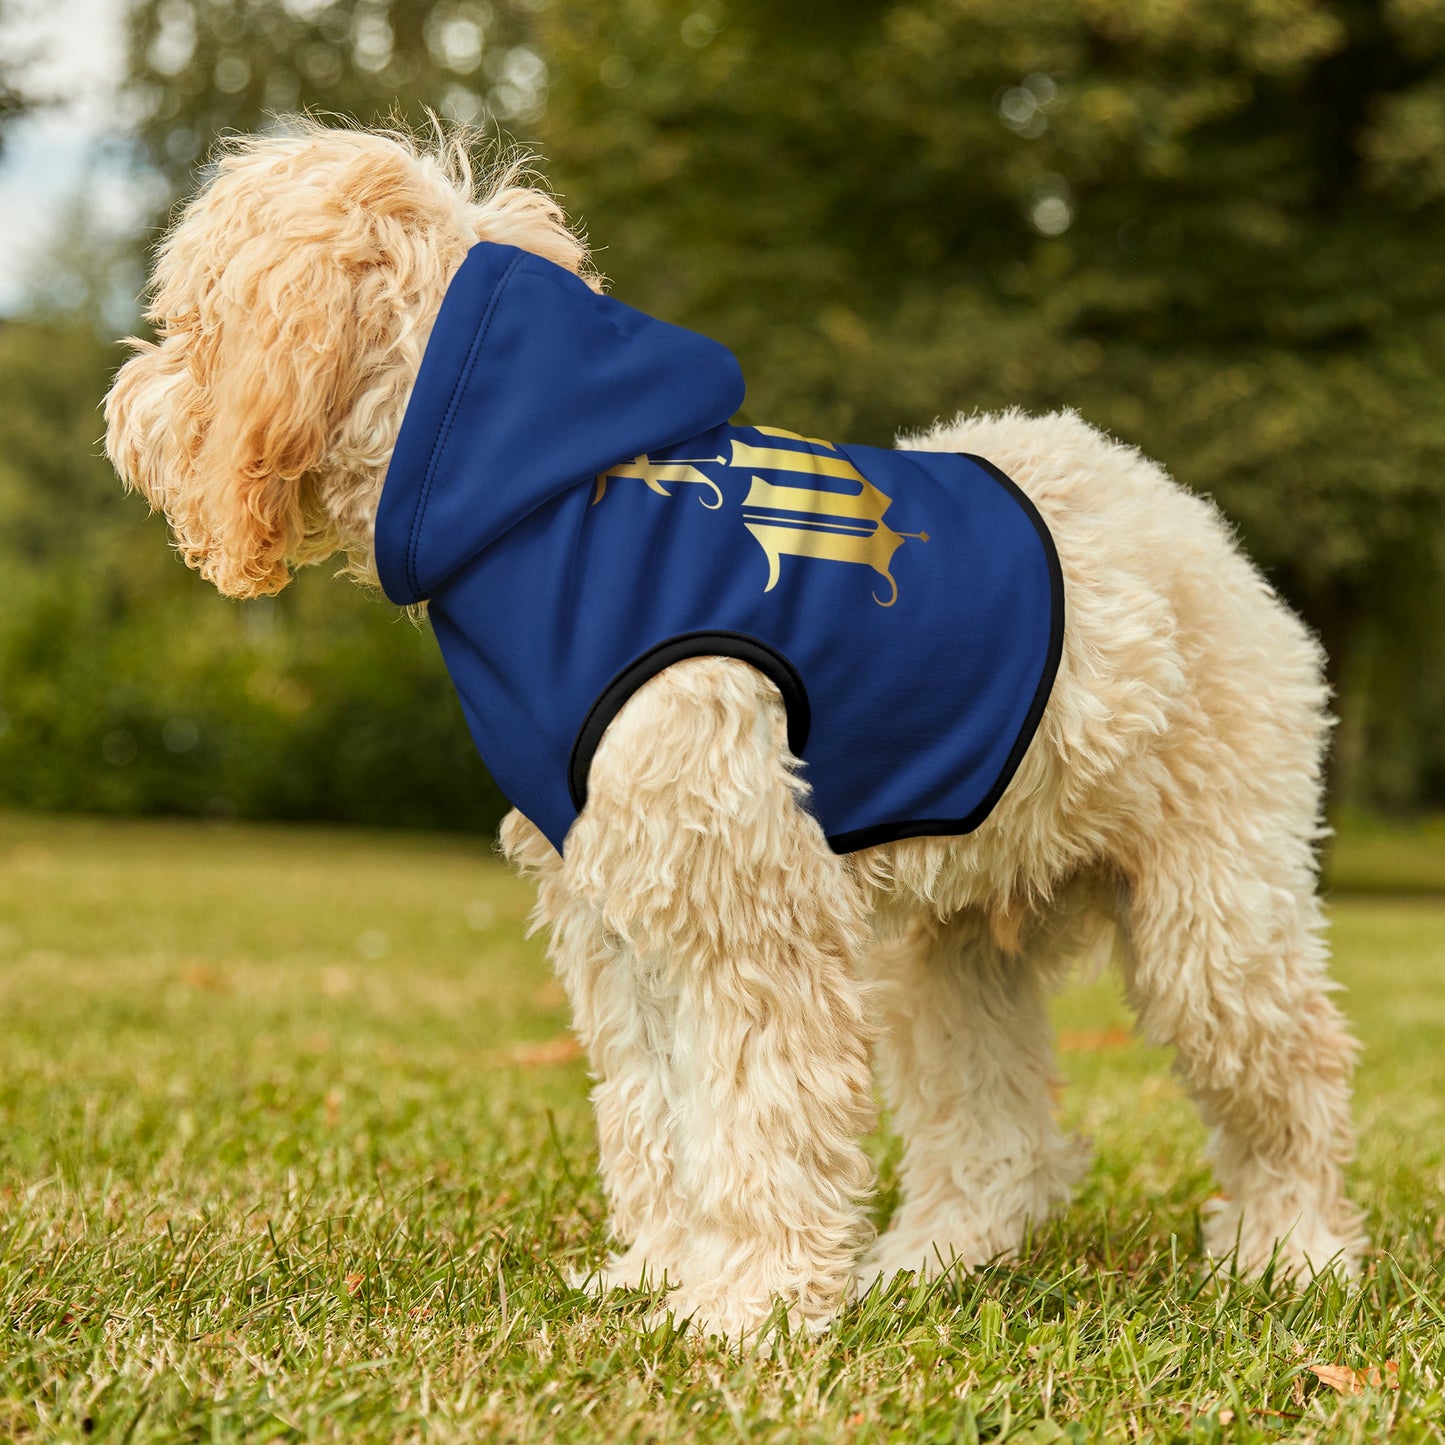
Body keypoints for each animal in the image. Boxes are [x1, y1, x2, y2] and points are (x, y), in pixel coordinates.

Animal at [106, 124, 1358, 1340]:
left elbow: (757, 1115)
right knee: (997, 1134)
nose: (122, 407)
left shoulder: (744, 906)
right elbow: (656, 1111)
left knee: (1293, 1075)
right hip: (950, 948)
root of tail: (1186, 517)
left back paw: (1291, 1252)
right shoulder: (617, 911)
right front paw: (661, 1272)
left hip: (1213, 917)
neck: (542, 502)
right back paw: (931, 1260)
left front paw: (745, 1304)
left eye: (189, 322)